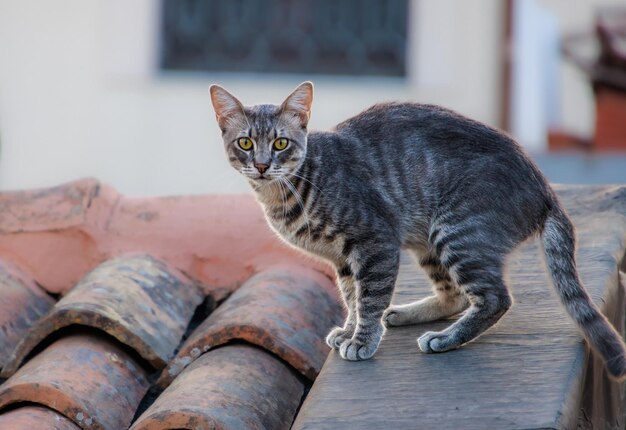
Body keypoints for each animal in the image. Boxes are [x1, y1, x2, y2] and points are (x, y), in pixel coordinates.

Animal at [210, 80, 624, 380]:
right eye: (245, 143)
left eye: (281, 143)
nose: (262, 165)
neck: (287, 194)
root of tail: (544, 187)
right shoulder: (344, 260)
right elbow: (352, 296)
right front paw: (350, 330)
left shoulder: (375, 243)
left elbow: (369, 297)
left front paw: (362, 340)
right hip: (430, 244)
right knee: (454, 296)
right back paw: (409, 314)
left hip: (458, 232)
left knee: (495, 298)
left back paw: (446, 338)